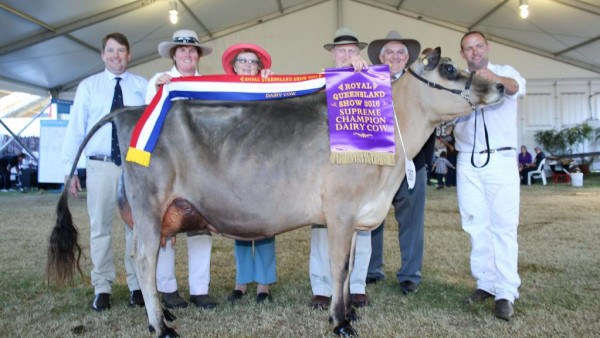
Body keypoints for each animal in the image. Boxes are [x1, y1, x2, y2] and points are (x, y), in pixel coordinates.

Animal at [48, 48, 506, 338]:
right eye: (450, 70)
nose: (500, 87)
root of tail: (129, 110)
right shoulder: (341, 210)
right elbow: (340, 267)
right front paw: (340, 323)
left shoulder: (355, 215)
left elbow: (349, 268)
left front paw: (349, 314)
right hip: (148, 205)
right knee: (144, 262)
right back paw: (161, 328)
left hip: (147, 215)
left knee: (135, 258)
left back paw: (158, 318)